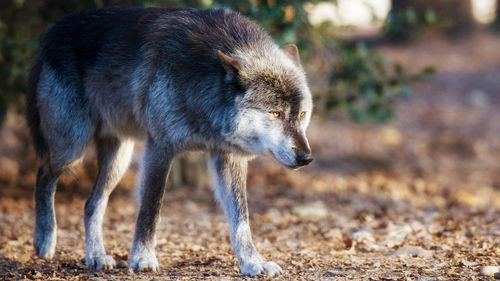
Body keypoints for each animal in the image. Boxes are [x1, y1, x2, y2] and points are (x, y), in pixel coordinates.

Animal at [27, 6, 312, 276]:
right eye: (275, 113)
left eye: (301, 114)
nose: (306, 158)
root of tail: (52, 30)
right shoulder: (160, 148)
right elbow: (150, 210)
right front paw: (142, 259)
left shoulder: (229, 158)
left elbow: (242, 220)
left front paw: (253, 263)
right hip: (71, 148)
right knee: (43, 175)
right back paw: (45, 241)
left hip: (119, 159)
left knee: (91, 204)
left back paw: (96, 256)